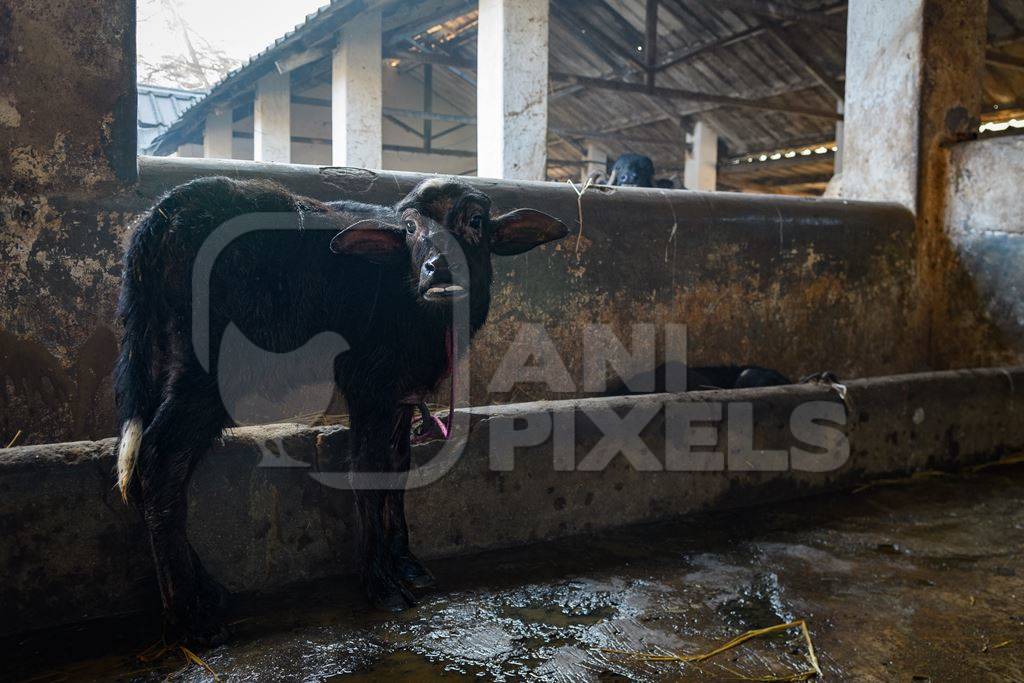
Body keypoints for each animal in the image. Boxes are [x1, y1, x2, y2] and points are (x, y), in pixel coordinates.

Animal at [116, 175, 573, 643]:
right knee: (160, 461)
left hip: (158, 354)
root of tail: (165, 212)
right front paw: (382, 584)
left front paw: (406, 563)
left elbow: (397, 469)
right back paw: (190, 620)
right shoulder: (369, 386)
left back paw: (209, 592)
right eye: (409, 227)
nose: (439, 269)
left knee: (150, 468)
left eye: (476, 221)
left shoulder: (399, 395)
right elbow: (367, 468)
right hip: (204, 371)